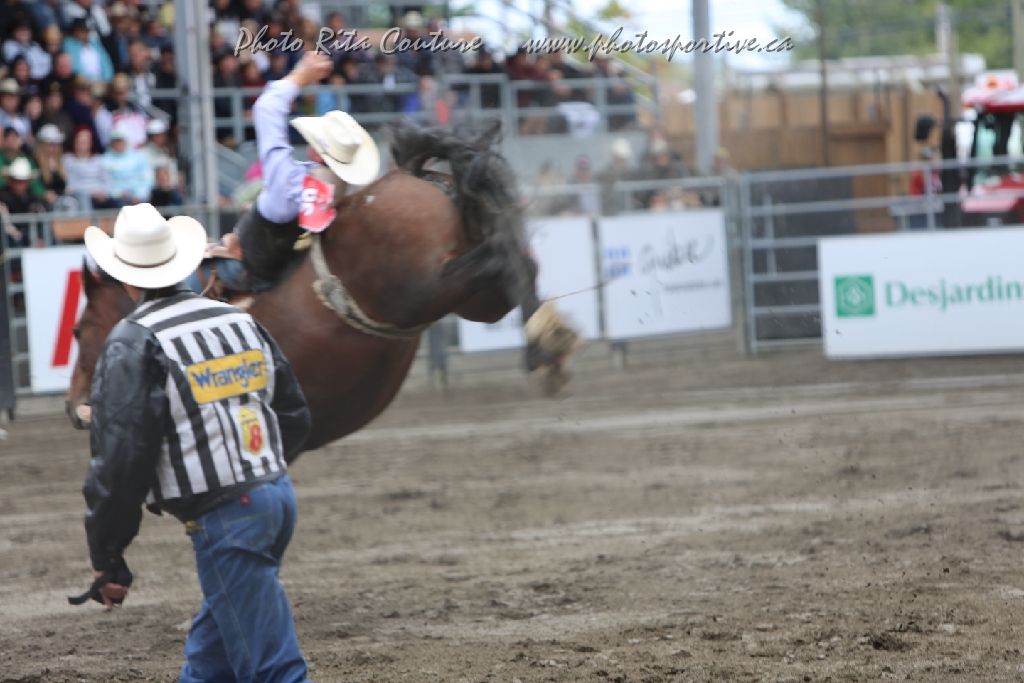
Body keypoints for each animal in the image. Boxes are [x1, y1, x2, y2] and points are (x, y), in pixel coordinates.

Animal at [66, 121, 579, 454]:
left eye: (77, 330)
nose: (74, 408)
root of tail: (409, 174)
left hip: (424, 288)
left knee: (500, 257)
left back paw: (543, 350)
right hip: (474, 299)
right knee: (514, 261)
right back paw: (549, 344)